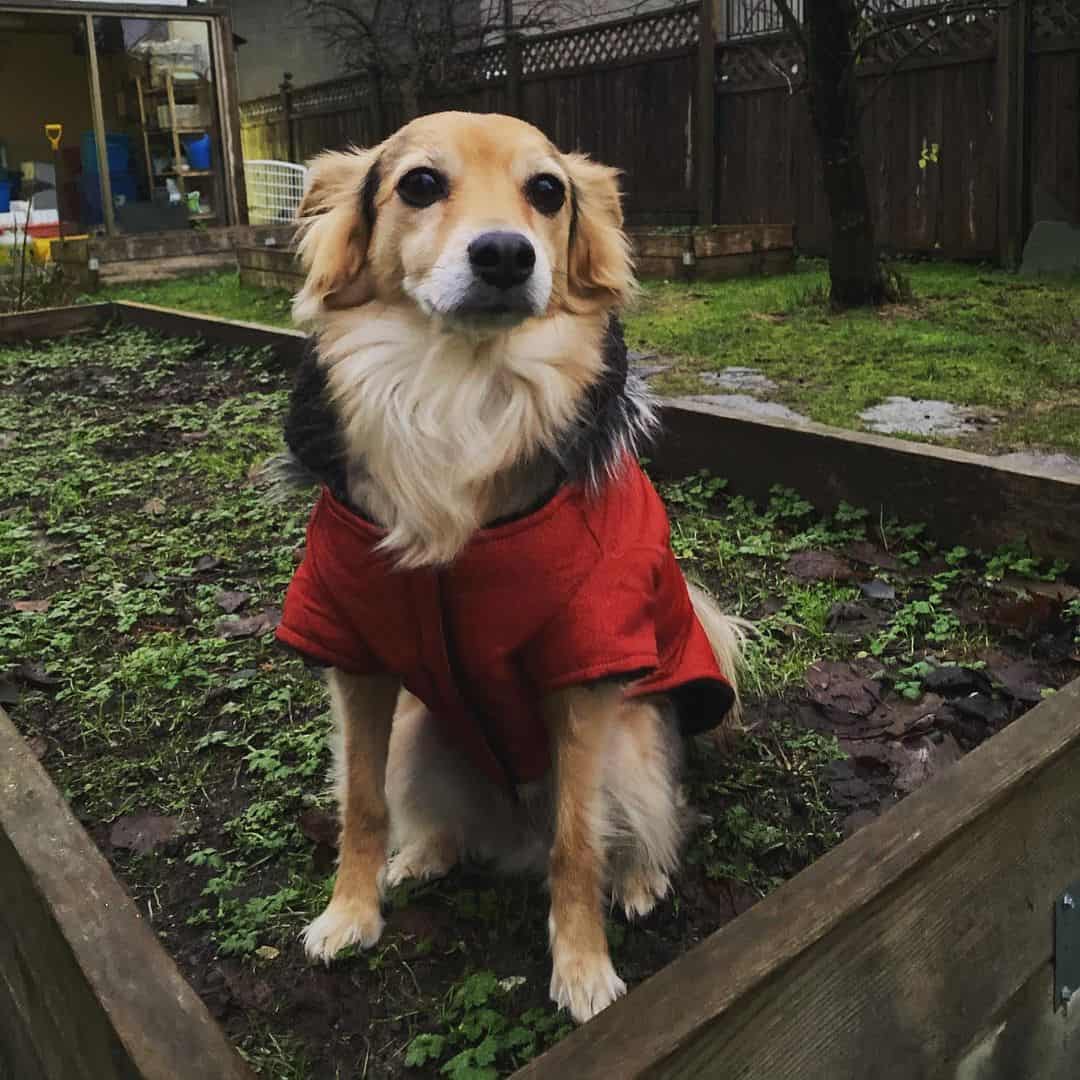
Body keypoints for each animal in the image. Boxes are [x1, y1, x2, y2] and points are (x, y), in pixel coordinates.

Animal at [270, 113, 743, 1023]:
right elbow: (360, 802)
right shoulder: (357, 657)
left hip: (634, 735)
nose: (504, 254)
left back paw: (641, 879)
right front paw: (350, 913)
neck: (460, 390)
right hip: (421, 727)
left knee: (649, 815)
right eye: (419, 184)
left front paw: (584, 966)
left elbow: (577, 842)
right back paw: (427, 853)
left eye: (548, 191)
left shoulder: (586, 667)